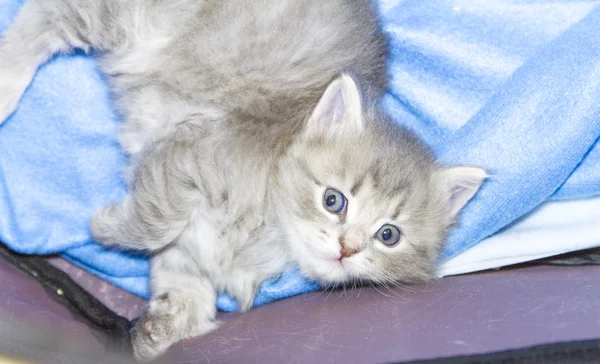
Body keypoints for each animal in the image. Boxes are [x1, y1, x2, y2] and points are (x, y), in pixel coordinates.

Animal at [0, 0, 488, 360]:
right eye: (334, 201)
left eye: (389, 235)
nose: (347, 248)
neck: (270, 236)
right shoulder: (187, 151)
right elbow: (156, 222)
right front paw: (102, 226)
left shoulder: (190, 242)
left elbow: (182, 276)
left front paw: (163, 328)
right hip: (133, 22)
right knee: (50, 12)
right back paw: (7, 81)